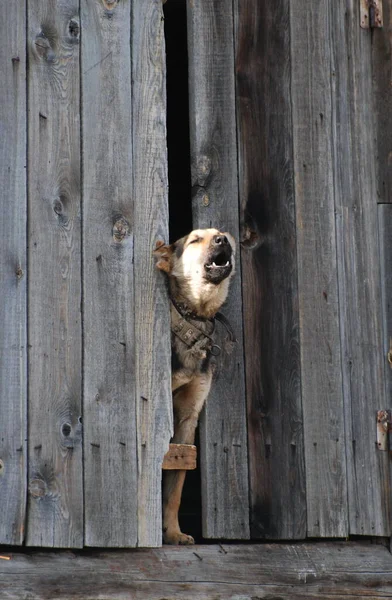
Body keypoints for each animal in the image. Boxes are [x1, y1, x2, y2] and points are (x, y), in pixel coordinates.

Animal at [154, 227, 236, 548]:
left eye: (223, 235)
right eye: (195, 239)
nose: (223, 241)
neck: (194, 320)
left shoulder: (188, 417)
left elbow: (176, 479)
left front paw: (173, 532)